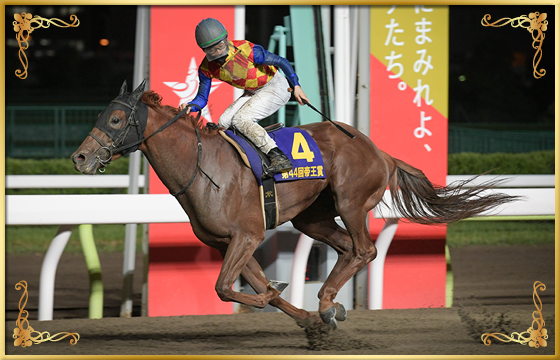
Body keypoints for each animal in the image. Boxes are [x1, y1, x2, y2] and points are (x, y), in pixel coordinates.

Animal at [73, 81, 516, 330]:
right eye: (101, 115)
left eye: (115, 120)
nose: (79, 158)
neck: (202, 167)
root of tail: (381, 152)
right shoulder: (226, 242)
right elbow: (247, 288)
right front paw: (305, 317)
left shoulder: (247, 234)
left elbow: (225, 288)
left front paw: (280, 293)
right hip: (312, 217)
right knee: (346, 248)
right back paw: (327, 305)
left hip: (352, 201)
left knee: (365, 250)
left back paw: (327, 299)